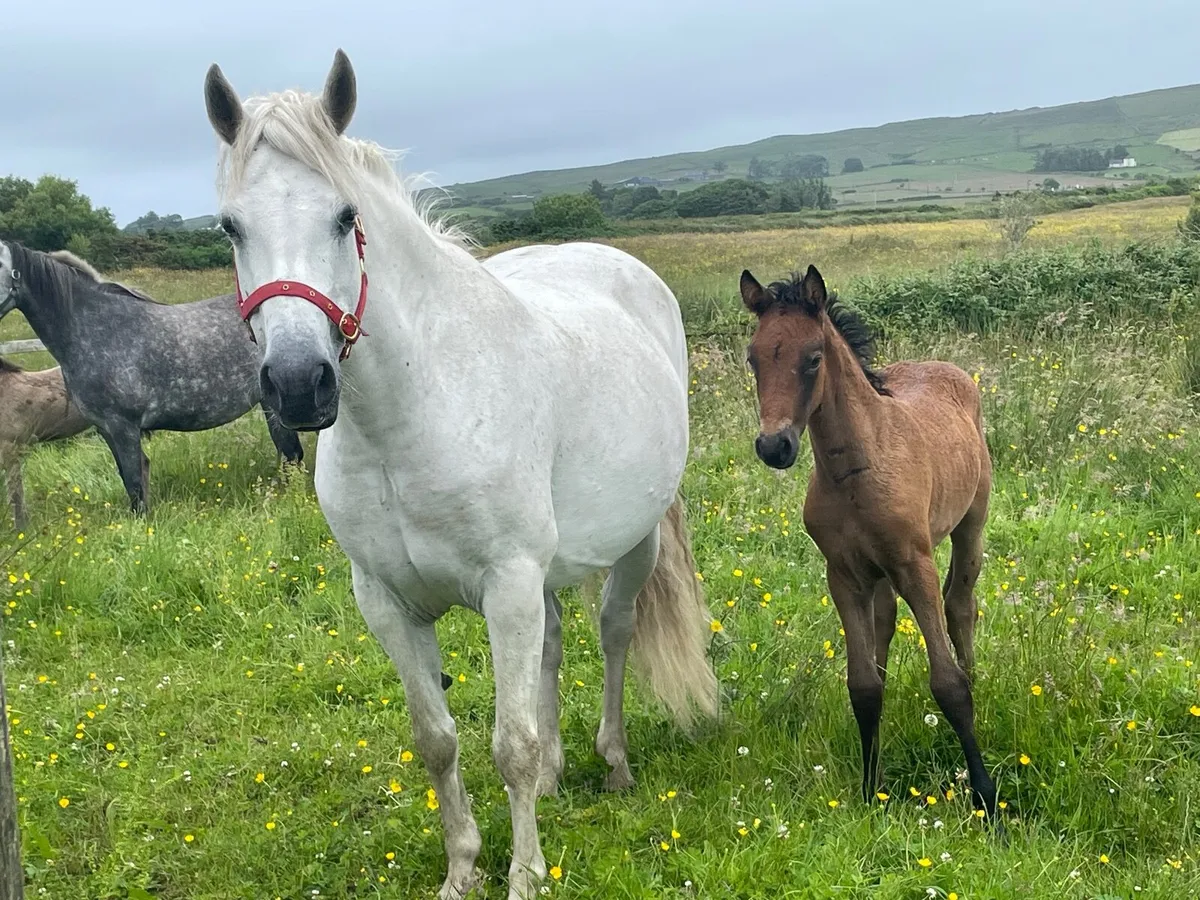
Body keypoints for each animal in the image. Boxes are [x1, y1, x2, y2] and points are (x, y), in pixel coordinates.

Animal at [201, 49, 718, 900]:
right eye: (229, 225)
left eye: (345, 217)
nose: (299, 383)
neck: (410, 415)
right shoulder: (388, 603)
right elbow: (438, 739)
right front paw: (463, 867)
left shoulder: (506, 584)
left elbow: (508, 742)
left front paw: (525, 875)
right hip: (543, 579)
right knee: (552, 649)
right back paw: (557, 778)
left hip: (632, 543)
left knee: (613, 634)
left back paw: (612, 764)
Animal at [739, 264, 997, 818]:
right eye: (753, 357)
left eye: (814, 357)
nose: (774, 446)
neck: (854, 471)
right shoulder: (845, 575)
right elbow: (863, 685)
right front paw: (869, 789)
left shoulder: (915, 565)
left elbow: (949, 685)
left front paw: (988, 800)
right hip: (878, 576)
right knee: (885, 628)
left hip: (970, 524)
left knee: (960, 604)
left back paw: (980, 681)